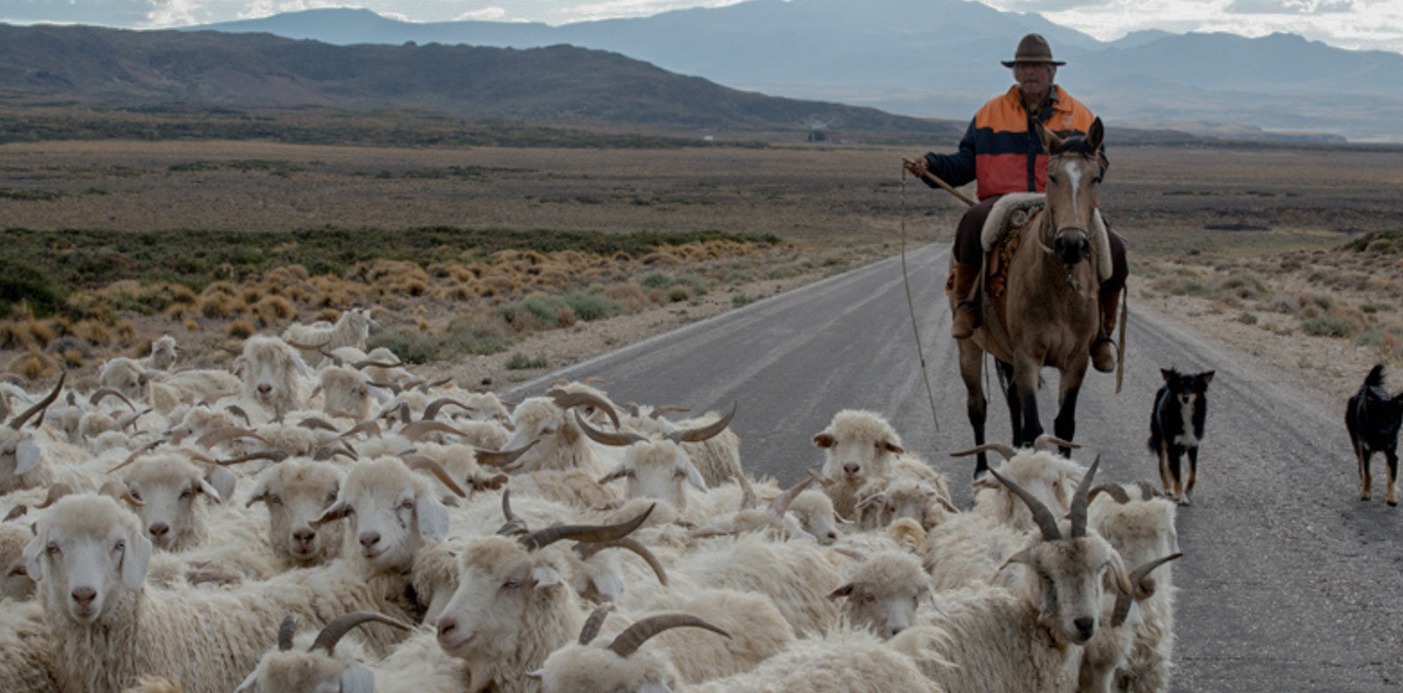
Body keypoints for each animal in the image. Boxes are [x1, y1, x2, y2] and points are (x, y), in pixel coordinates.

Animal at [954, 116, 1105, 479]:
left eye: (1096, 177)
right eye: (1052, 177)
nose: (1072, 244)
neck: (1059, 290)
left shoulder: (1076, 361)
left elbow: (1064, 425)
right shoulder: (1028, 357)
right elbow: (1035, 427)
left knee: (1012, 403)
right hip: (970, 347)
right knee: (977, 406)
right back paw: (981, 470)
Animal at [1150, 367, 1217, 502]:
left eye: (1194, 385)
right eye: (1179, 385)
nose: (1186, 397)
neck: (1185, 410)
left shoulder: (1193, 444)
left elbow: (1193, 473)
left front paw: (1188, 491)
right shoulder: (1173, 445)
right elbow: (1177, 473)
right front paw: (1180, 494)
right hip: (1161, 439)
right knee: (1162, 464)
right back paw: (1168, 487)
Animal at [1341, 364, 1403, 505]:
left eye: (1392, 418)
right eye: (1378, 417)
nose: (1385, 431)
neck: (1379, 437)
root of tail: (1368, 385)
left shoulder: (1392, 454)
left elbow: (1391, 477)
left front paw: (1392, 497)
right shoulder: (1366, 451)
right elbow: (1368, 474)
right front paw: (1366, 493)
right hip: (1356, 442)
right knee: (1361, 465)